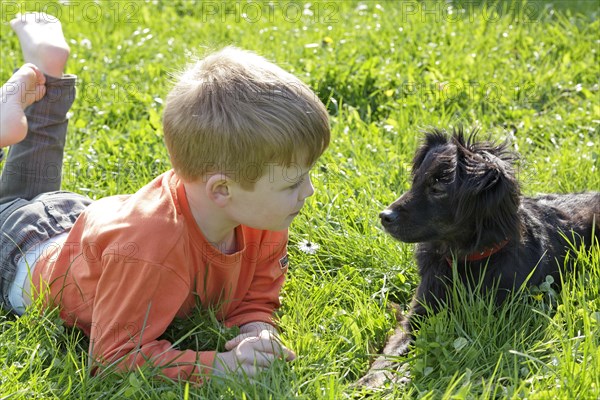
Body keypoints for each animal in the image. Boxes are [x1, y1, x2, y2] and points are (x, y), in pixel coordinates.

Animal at [358, 128, 596, 388]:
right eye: (415, 181)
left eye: (438, 189)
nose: (384, 216)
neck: (465, 258)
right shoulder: (418, 315)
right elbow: (389, 353)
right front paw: (368, 381)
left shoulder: (489, 321)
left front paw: (403, 377)